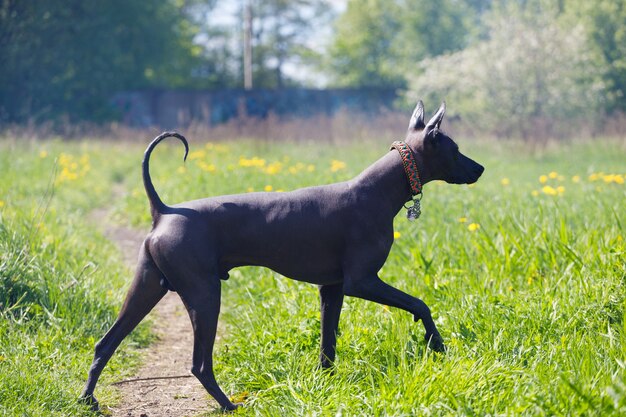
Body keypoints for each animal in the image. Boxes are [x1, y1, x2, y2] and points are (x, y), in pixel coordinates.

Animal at [80, 101, 482, 410]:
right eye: (455, 148)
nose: (480, 168)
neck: (377, 191)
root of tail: (165, 211)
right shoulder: (362, 282)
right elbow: (420, 304)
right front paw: (437, 344)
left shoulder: (332, 289)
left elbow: (328, 343)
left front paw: (326, 383)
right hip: (204, 295)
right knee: (199, 364)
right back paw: (228, 405)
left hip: (147, 287)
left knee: (105, 343)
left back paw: (88, 401)